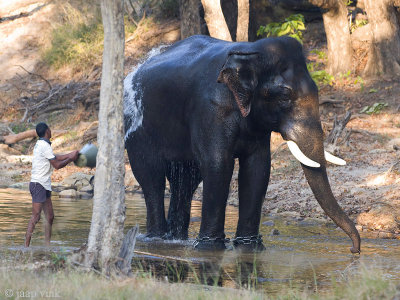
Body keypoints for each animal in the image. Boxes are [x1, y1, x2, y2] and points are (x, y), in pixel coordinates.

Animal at [123, 35, 360, 254]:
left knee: (185, 182)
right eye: (285, 95)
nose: (353, 250)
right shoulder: (211, 109)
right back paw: (156, 239)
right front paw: (209, 248)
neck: (250, 49)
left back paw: (176, 239)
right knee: (151, 177)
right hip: (137, 128)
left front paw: (250, 247)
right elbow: (218, 164)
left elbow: (258, 167)